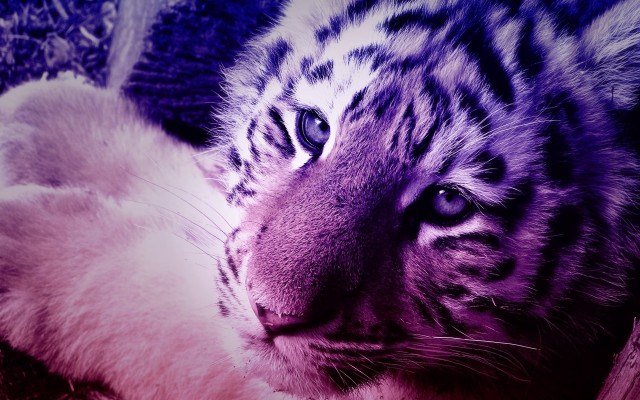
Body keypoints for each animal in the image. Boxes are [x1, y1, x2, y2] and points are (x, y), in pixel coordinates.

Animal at [1, 0, 640, 399]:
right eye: (312, 128)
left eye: (448, 204)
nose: (271, 314)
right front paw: (41, 120)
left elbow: (160, 303)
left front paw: (24, 247)